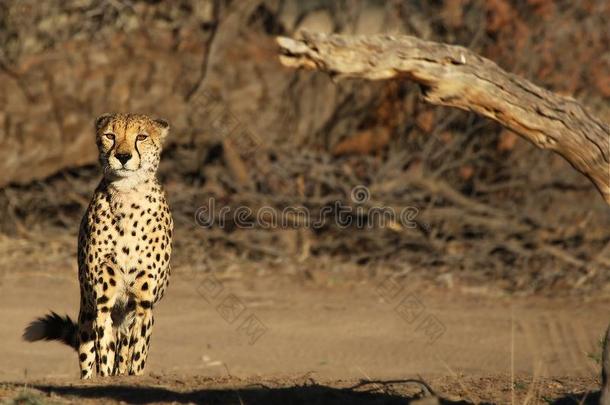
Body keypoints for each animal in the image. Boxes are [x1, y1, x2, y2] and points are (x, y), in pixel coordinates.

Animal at [22, 112, 172, 378]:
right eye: (110, 135)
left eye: (142, 137)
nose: (123, 156)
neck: (128, 197)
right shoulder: (103, 303)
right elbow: (105, 353)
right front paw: (104, 377)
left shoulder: (144, 304)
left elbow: (137, 356)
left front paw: (132, 376)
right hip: (87, 318)